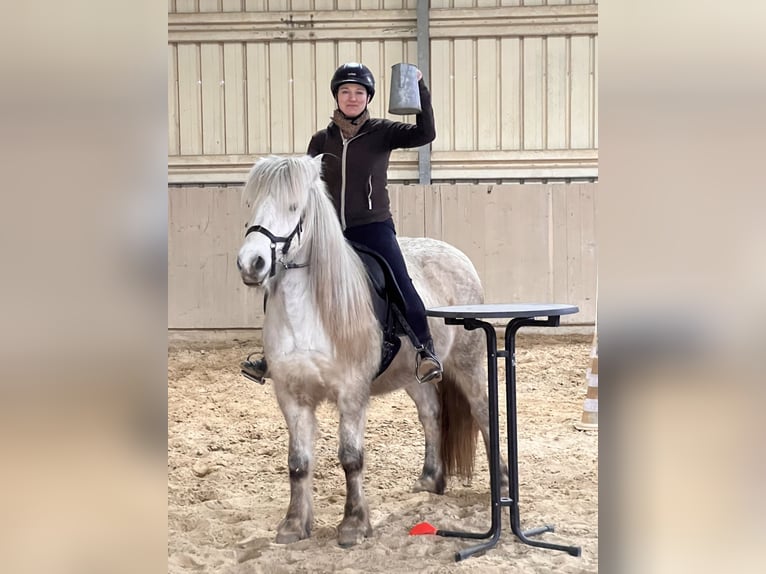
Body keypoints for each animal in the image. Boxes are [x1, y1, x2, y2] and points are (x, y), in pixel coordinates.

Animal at [236, 154, 508, 547]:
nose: (251, 263)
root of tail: (458, 256)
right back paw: (431, 479)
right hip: (414, 376)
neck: (311, 311)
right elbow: (298, 463)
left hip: (468, 362)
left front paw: (353, 524)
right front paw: (293, 525)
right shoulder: (290, 394)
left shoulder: (351, 392)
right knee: (431, 414)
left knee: (484, 412)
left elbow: (351, 458)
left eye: (294, 206)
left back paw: (500, 481)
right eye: (252, 203)